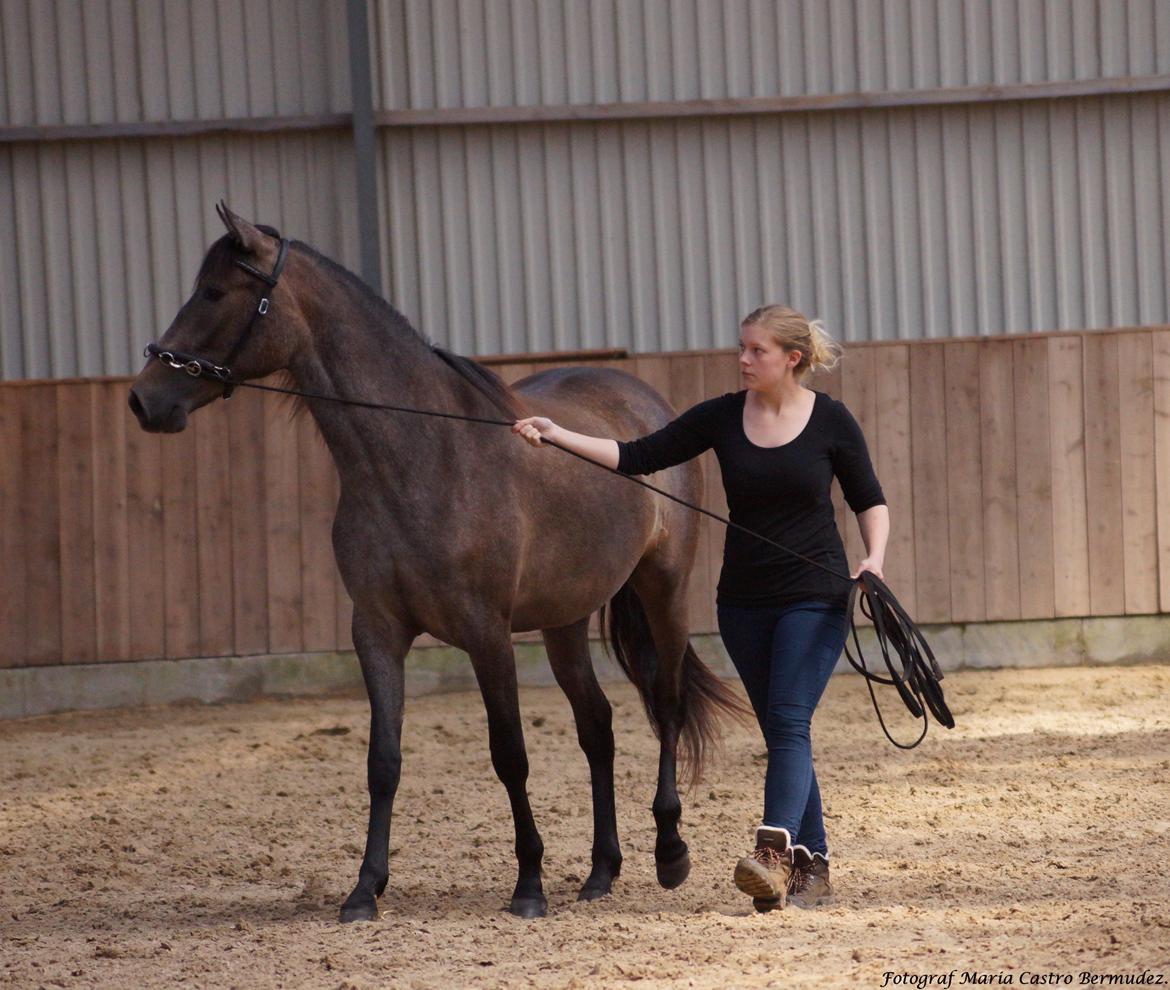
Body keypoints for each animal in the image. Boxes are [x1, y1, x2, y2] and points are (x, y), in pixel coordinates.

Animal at [128, 205, 744, 926]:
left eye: (214, 293)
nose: (144, 399)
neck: (422, 457)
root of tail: (644, 402)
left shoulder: (486, 632)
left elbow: (510, 754)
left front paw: (528, 884)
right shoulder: (376, 631)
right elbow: (383, 760)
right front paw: (364, 889)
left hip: (663, 589)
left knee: (666, 706)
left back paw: (669, 853)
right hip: (564, 620)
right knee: (597, 726)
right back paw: (600, 871)